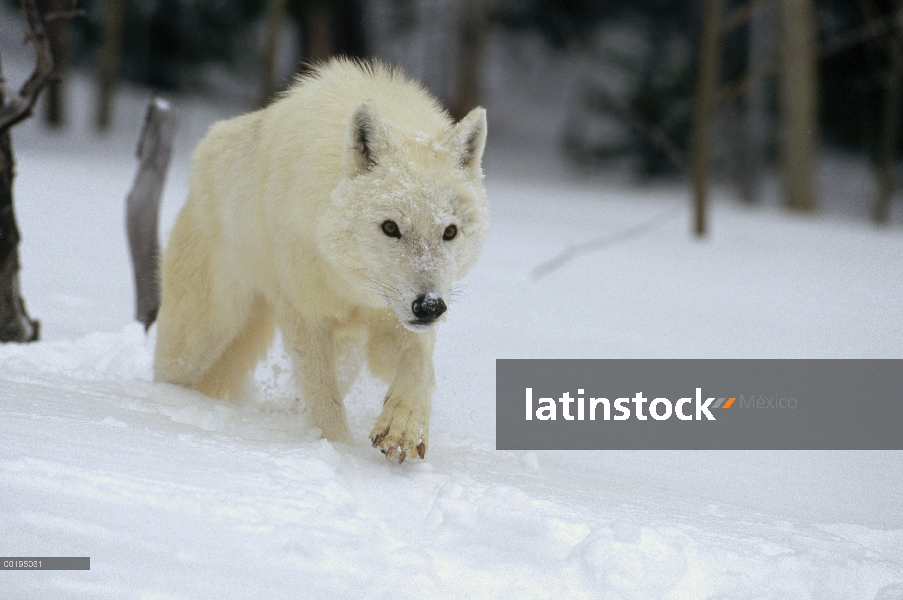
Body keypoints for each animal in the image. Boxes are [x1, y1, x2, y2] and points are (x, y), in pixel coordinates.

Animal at [153, 59, 490, 460]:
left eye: (449, 232)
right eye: (390, 228)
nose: (429, 307)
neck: (353, 286)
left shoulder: (393, 322)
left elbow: (419, 365)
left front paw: (403, 427)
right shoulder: (306, 317)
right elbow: (324, 400)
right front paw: (340, 454)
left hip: (345, 348)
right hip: (201, 337)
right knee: (170, 371)